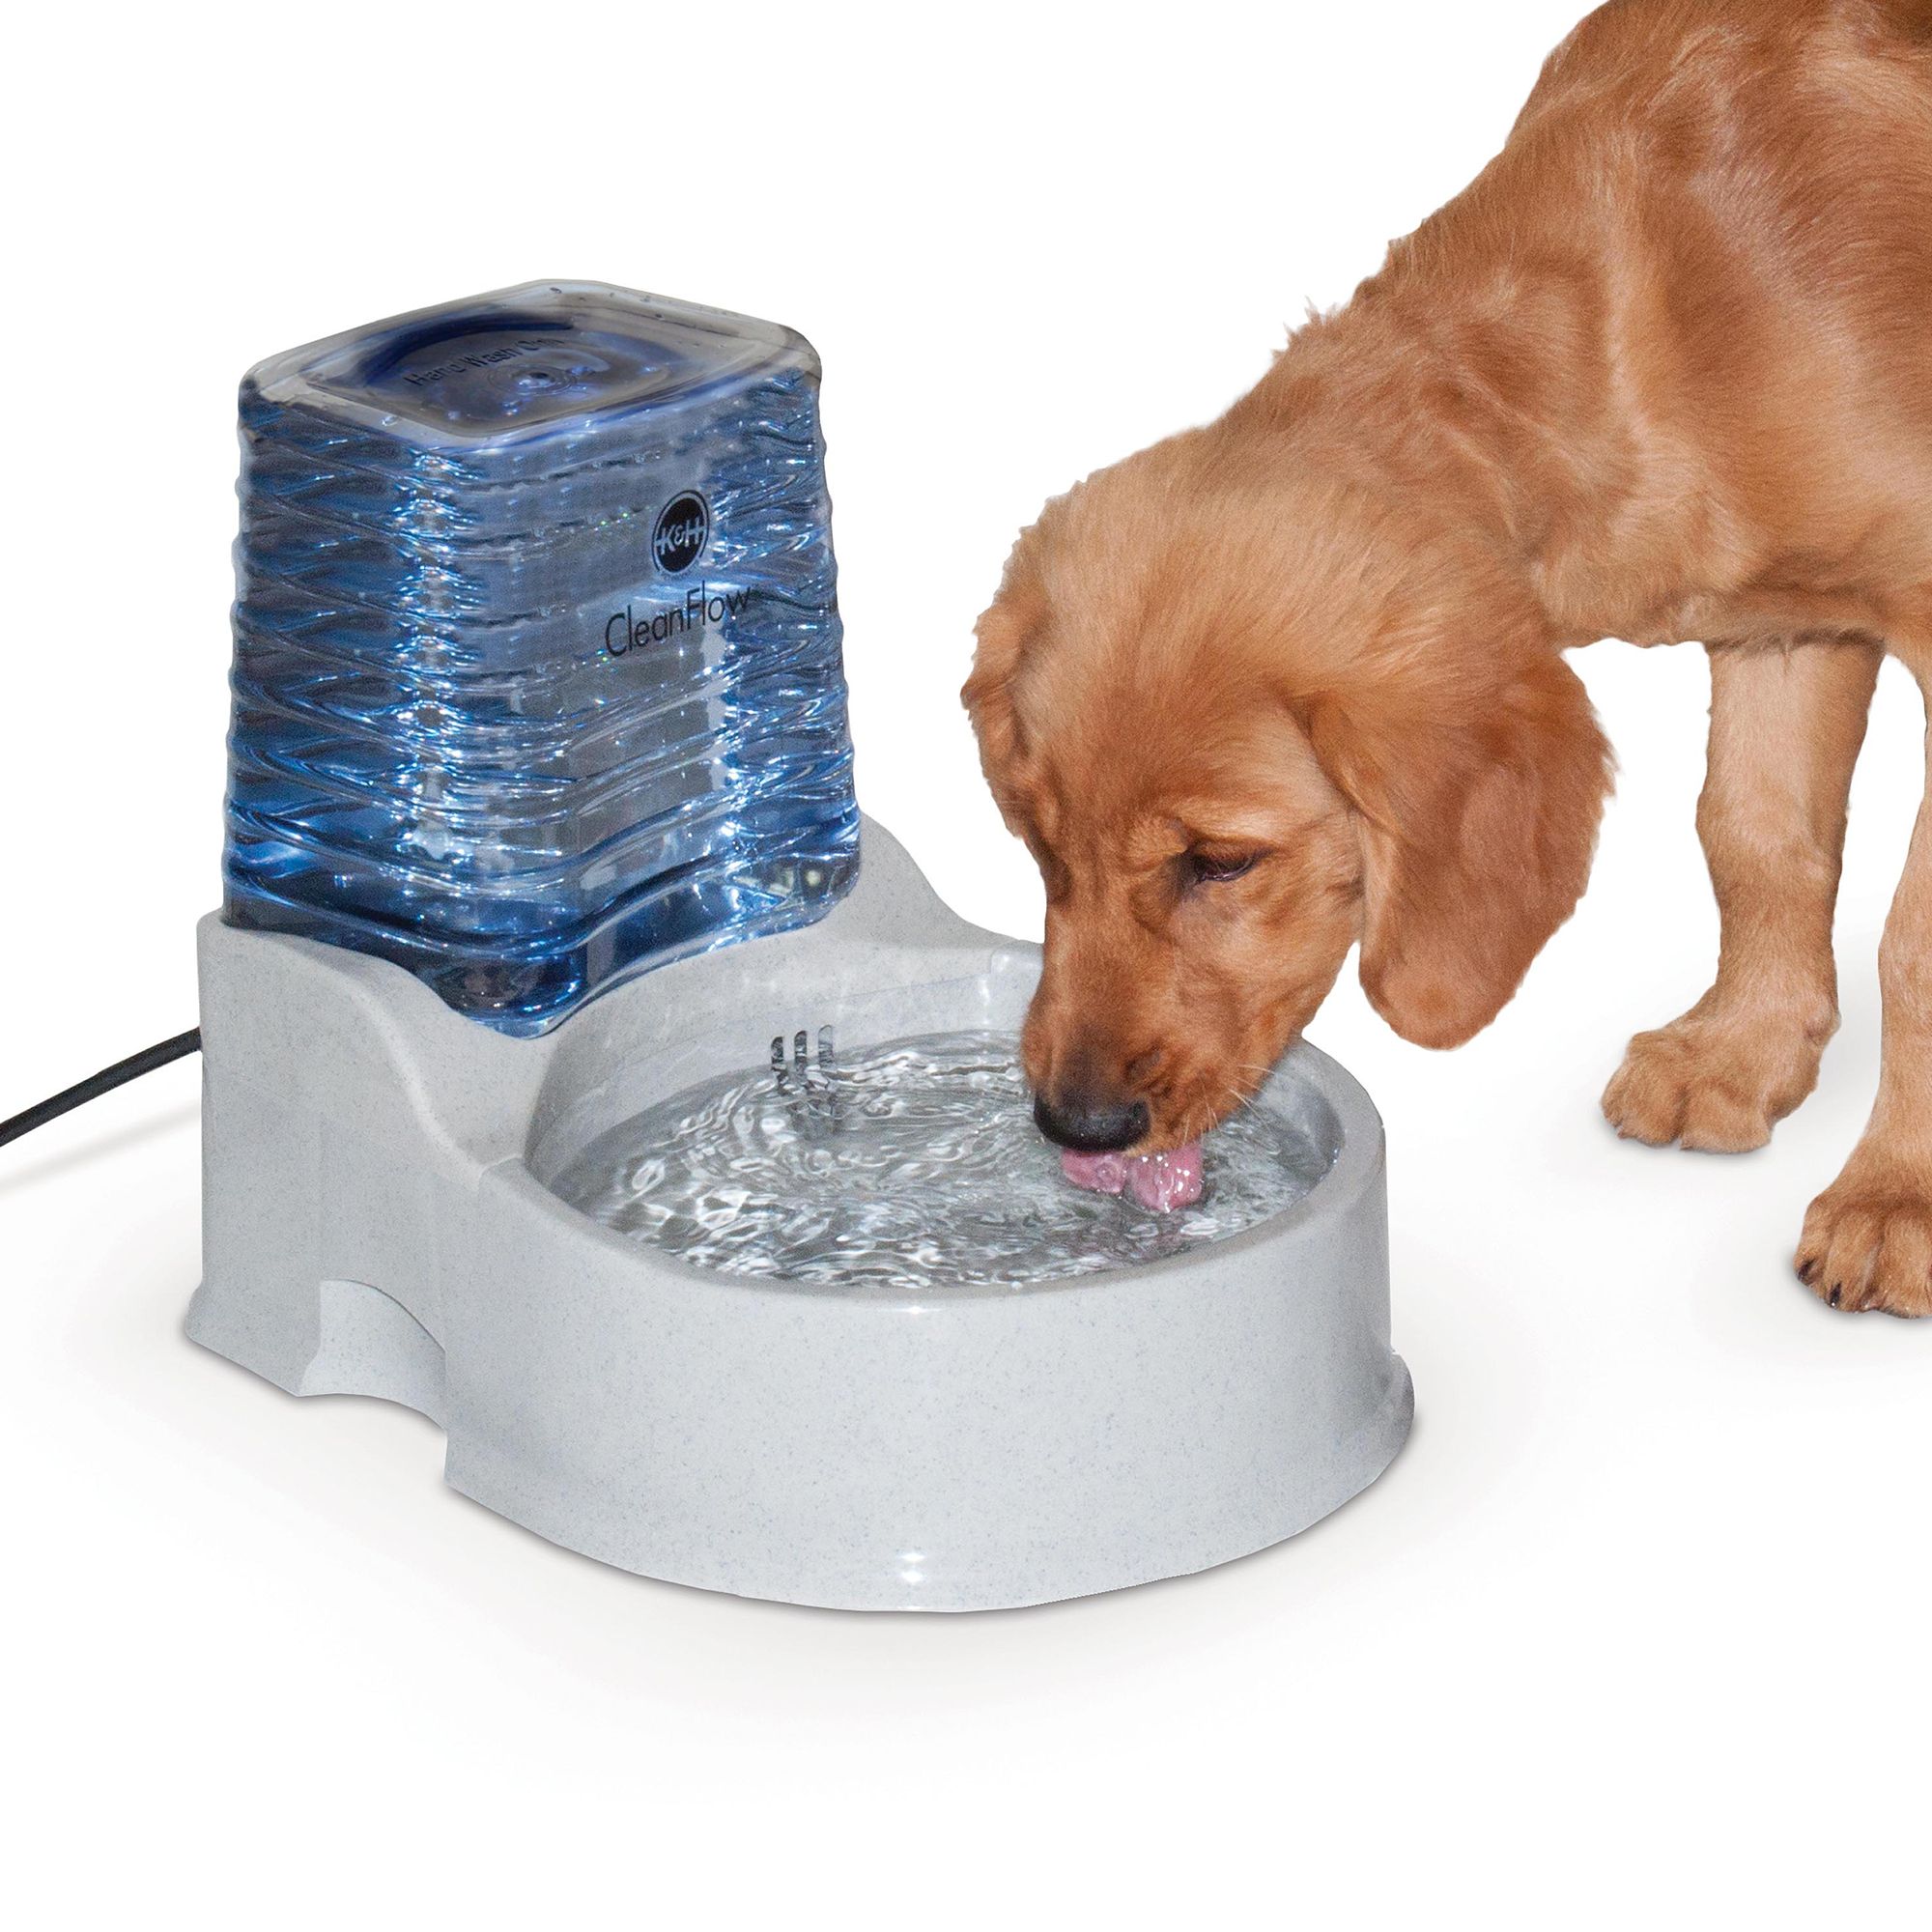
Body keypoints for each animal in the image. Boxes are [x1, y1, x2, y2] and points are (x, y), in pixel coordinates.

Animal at [966, 0, 1932, 1314]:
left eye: (1221, 861)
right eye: (1033, 840)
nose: (1077, 1126)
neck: (1664, 290)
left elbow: (1912, 939)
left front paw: (1898, 1198)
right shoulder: (1784, 615)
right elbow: (1754, 836)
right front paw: (1740, 1049)